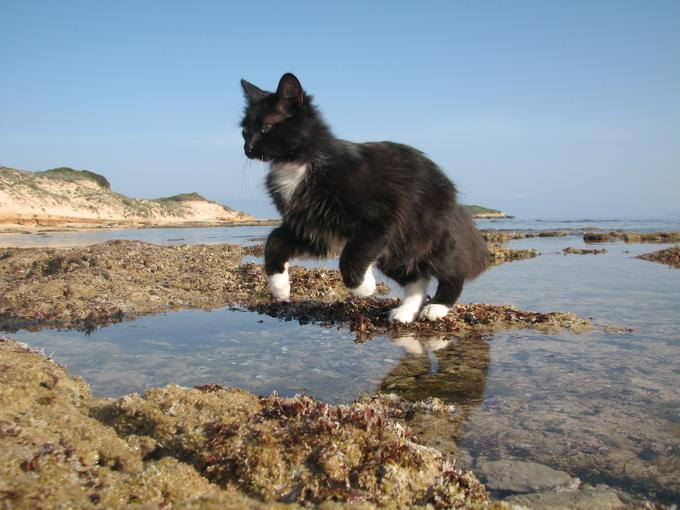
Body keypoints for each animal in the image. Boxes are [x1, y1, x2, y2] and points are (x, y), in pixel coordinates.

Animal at [242, 72, 486, 322]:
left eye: (266, 127)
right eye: (244, 131)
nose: (247, 148)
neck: (298, 163)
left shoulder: (378, 221)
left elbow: (349, 258)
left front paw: (365, 287)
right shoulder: (312, 228)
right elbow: (273, 241)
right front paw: (280, 288)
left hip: (427, 238)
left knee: (452, 274)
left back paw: (436, 307)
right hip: (397, 251)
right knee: (417, 279)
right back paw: (404, 313)